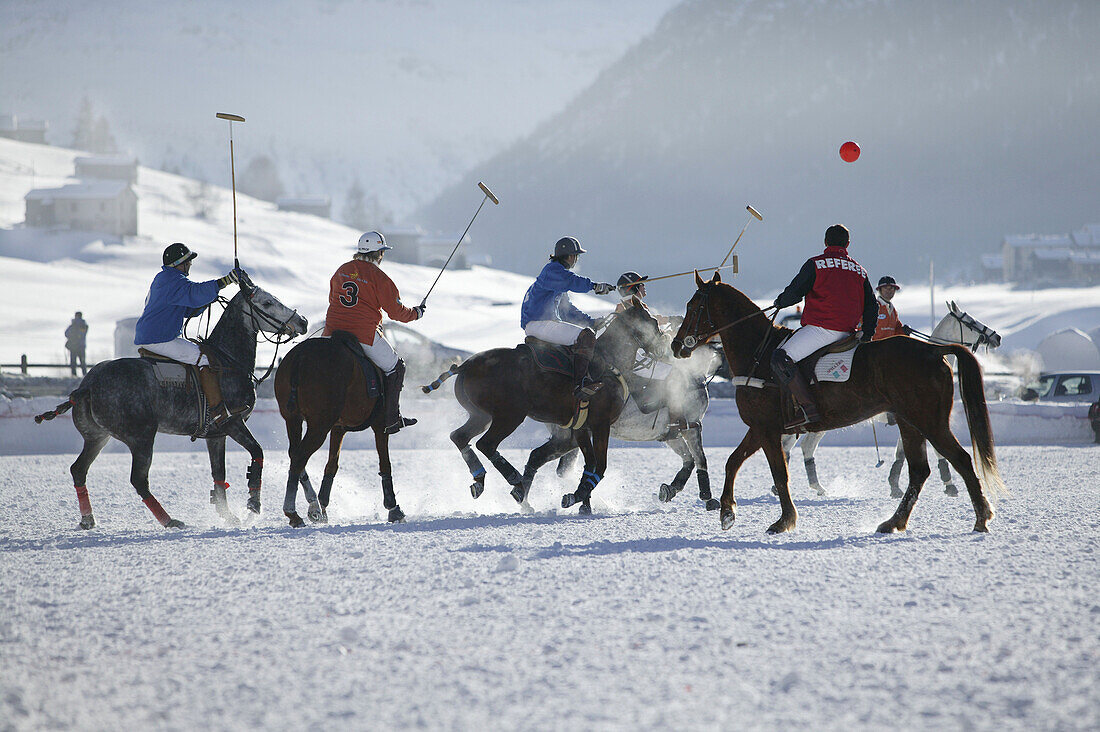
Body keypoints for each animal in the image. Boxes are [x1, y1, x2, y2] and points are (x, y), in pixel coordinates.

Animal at [275, 330, 409, 526]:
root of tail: (300, 357)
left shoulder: (338, 427)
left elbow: (332, 465)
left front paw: (323, 506)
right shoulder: (380, 426)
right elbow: (385, 463)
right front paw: (393, 508)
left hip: (292, 419)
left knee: (294, 453)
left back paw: (312, 507)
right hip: (319, 425)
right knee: (299, 457)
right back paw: (292, 513)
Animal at [778, 301, 1003, 497]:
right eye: (971, 321)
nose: (997, 337)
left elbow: (901, 453)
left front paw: (894, 484)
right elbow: (933, 451)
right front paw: (948, 484)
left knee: (803, 447)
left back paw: (814, 487)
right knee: (794, 446)